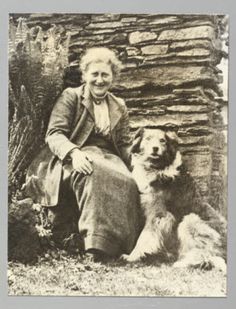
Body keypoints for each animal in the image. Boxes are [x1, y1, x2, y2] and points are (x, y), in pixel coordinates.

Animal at [122, 127, 226, 272]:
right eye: (148, 139)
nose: (155, 148)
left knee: (204, 255)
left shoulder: (159, 214)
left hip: (190, 220)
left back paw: (183, 263)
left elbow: (144, 236)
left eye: (162, 141)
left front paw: (133, 256)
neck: (157, 167)